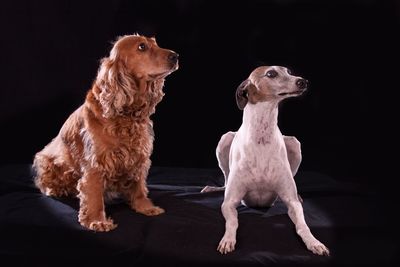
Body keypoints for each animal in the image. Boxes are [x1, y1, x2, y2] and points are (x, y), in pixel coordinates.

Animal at [202, 66, 330, 256]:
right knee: (225, 180)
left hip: (293, 143)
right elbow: (232, 221)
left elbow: (302, 225)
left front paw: (314, 242)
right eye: (271, 73)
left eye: (289, 71)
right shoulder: (229, 203)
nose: (303, 81)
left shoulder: (292, 203)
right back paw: (212, 188)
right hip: (224, 140)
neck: (261, 138)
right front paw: (227, 240)